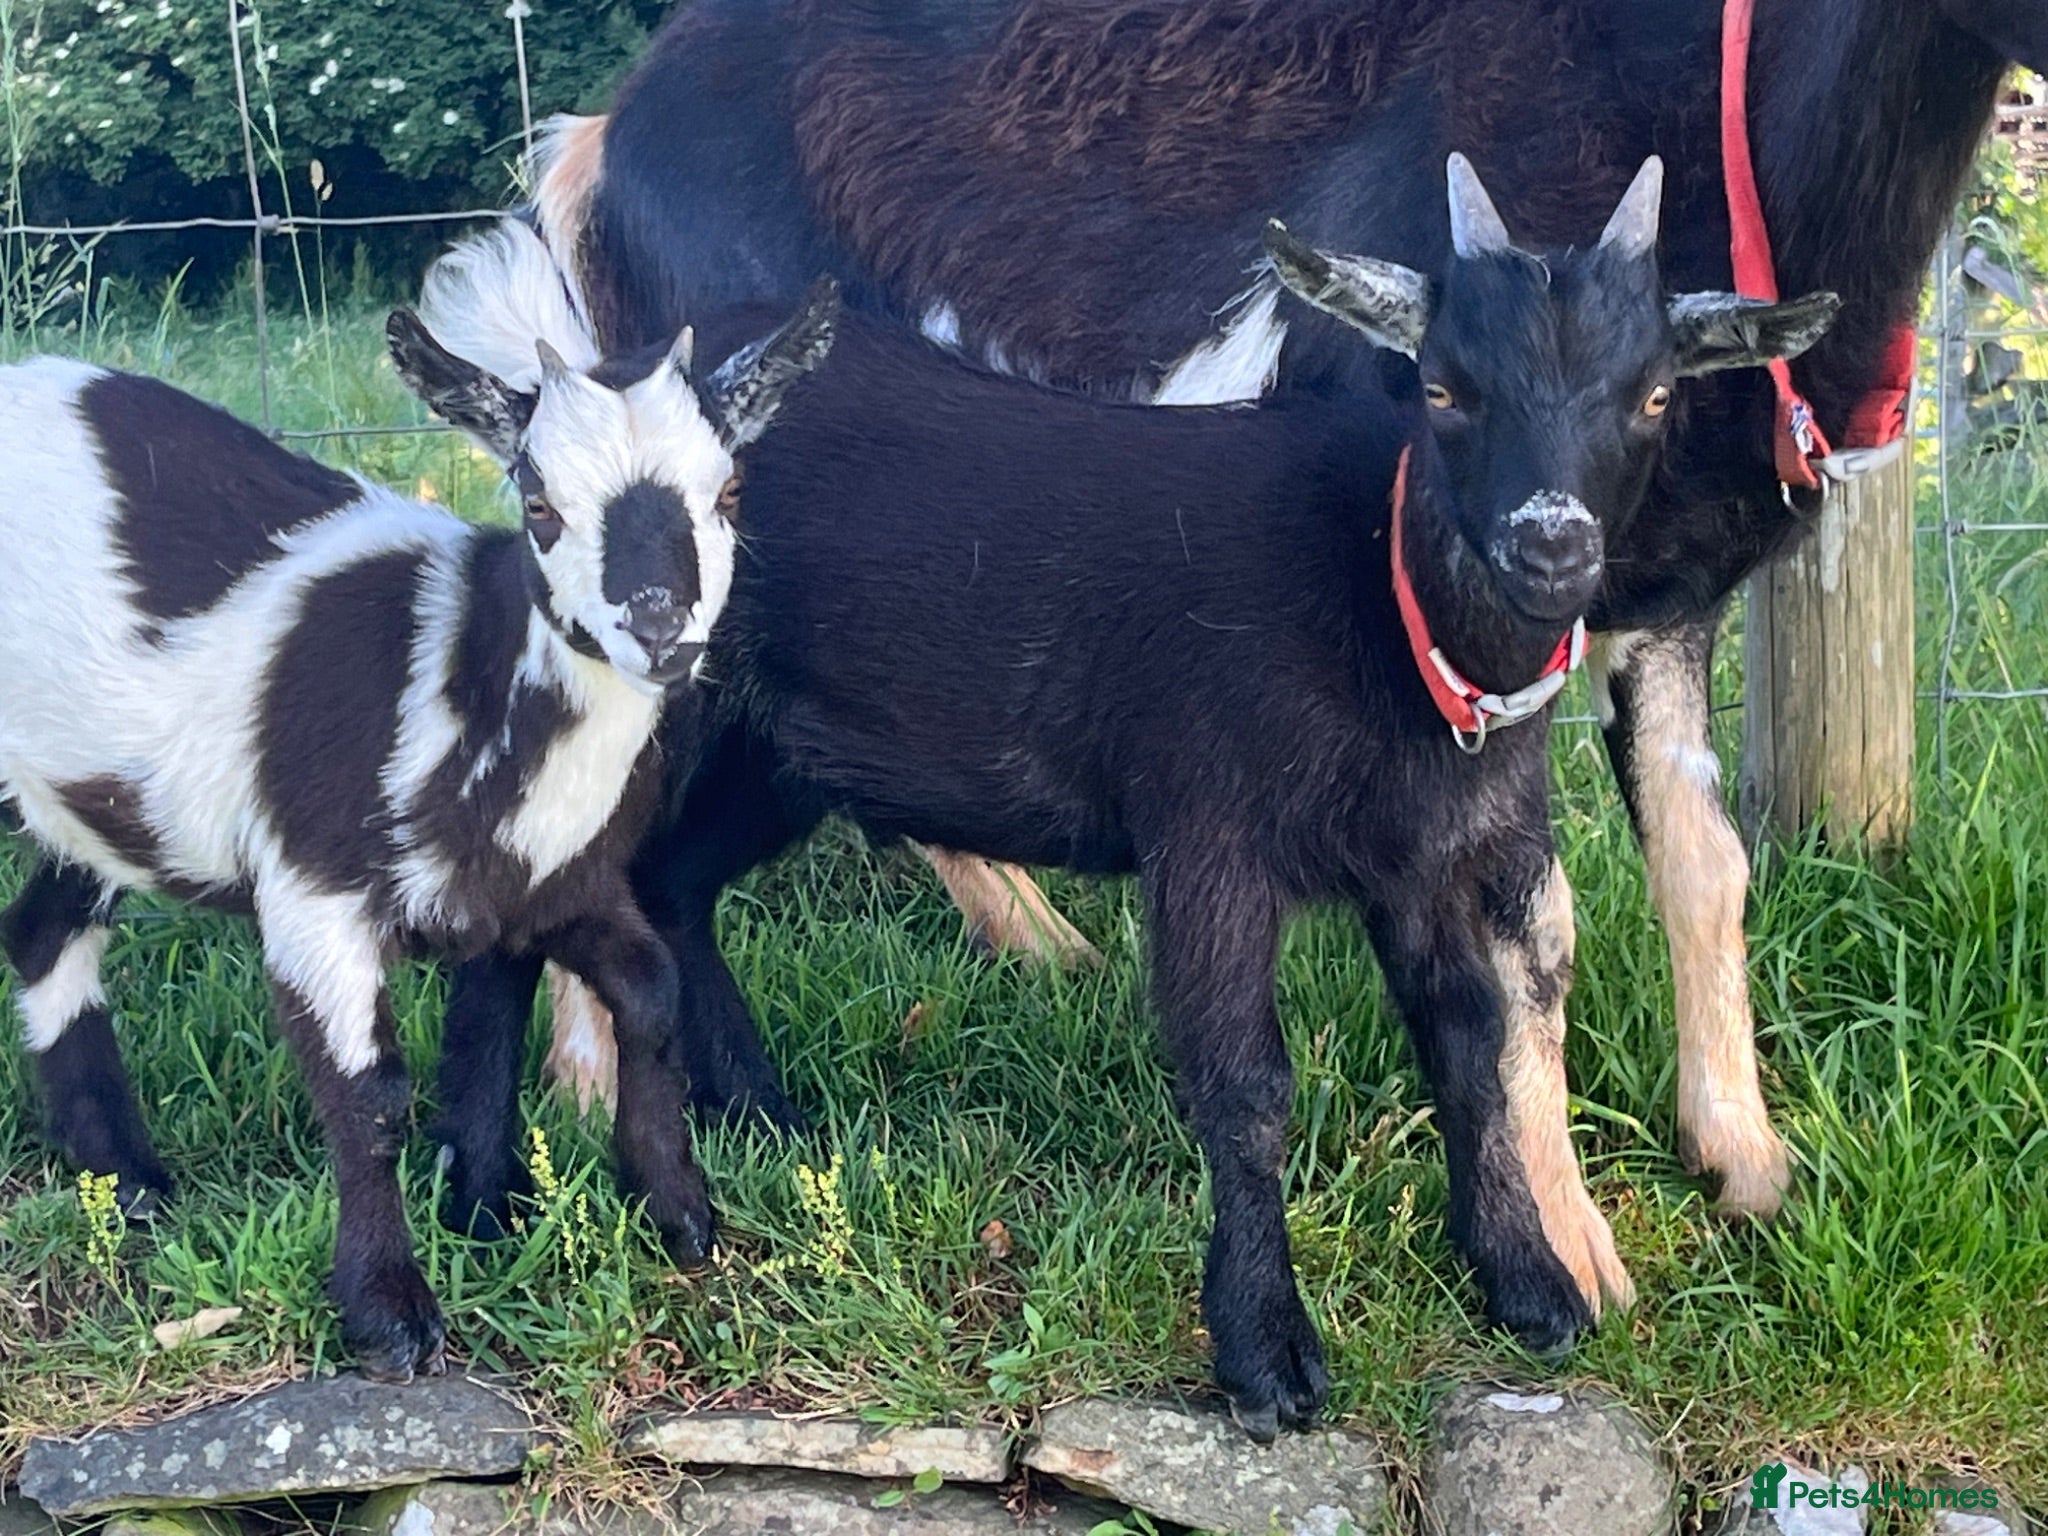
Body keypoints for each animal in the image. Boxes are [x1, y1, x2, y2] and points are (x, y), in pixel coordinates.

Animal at [0, 231, 835, 1380]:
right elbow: (372, 1096)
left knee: (43, 932)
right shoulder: (313, 887)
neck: (461, 681)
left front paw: (623, 1211)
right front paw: (391, 1314)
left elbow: (601, 1005)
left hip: (89, 801)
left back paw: (131, 1186)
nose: (658, 628)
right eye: (538, 503)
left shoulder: (546, 882)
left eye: (732, 490)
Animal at [405, 157, 1834, 1435]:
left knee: (672, 885)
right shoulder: (1206, 829)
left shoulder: (1424, 859)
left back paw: (759, 1116)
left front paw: (1526, 1288)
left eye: (1651, 392)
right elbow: (1244, 1085)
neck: (1378, 599)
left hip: (775, 747)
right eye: (1441, 386)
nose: (1548, 547)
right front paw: (1267, 1360)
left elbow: (1470, 1047)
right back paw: (486, 1199)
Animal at [530, 0, 2048, 1228]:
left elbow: (1702, 858)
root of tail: (597, 141)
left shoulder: (1653, 586)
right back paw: (583, 1091)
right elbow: (1525, 914)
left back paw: (1047, 951)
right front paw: (1567, 1238)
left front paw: (1745, 1164)